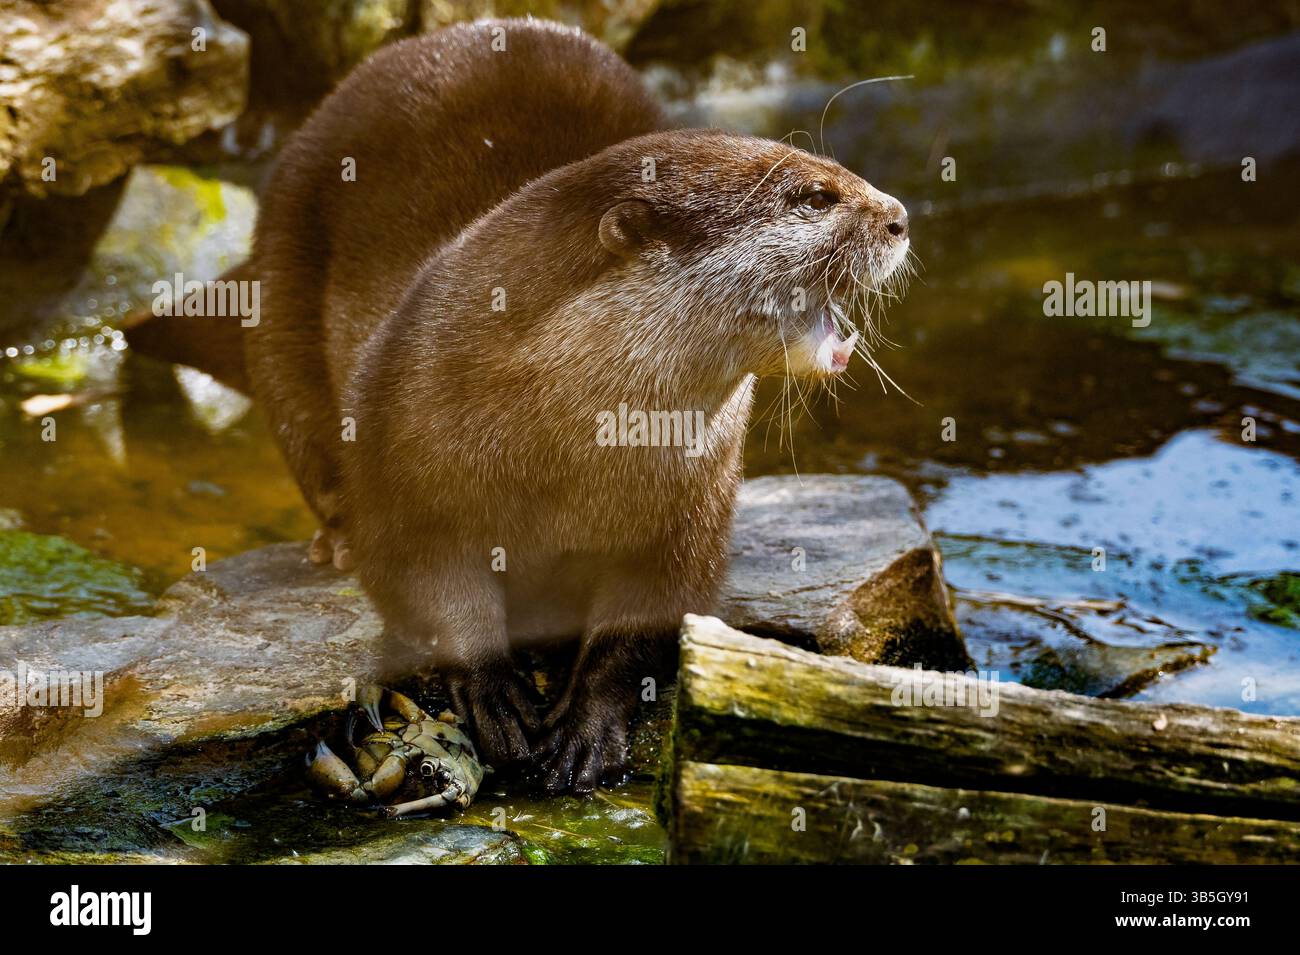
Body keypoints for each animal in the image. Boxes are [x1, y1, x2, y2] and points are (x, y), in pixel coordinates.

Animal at [129, 19, 911, 794]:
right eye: (813, 196)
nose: (900, 216)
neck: (566, 459)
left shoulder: (694, 507)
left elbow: (646, 617)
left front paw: (588, 722)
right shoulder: (404, 472)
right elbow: (428, 582)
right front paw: (492, 689)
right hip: (285, 264)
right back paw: (334, 538)